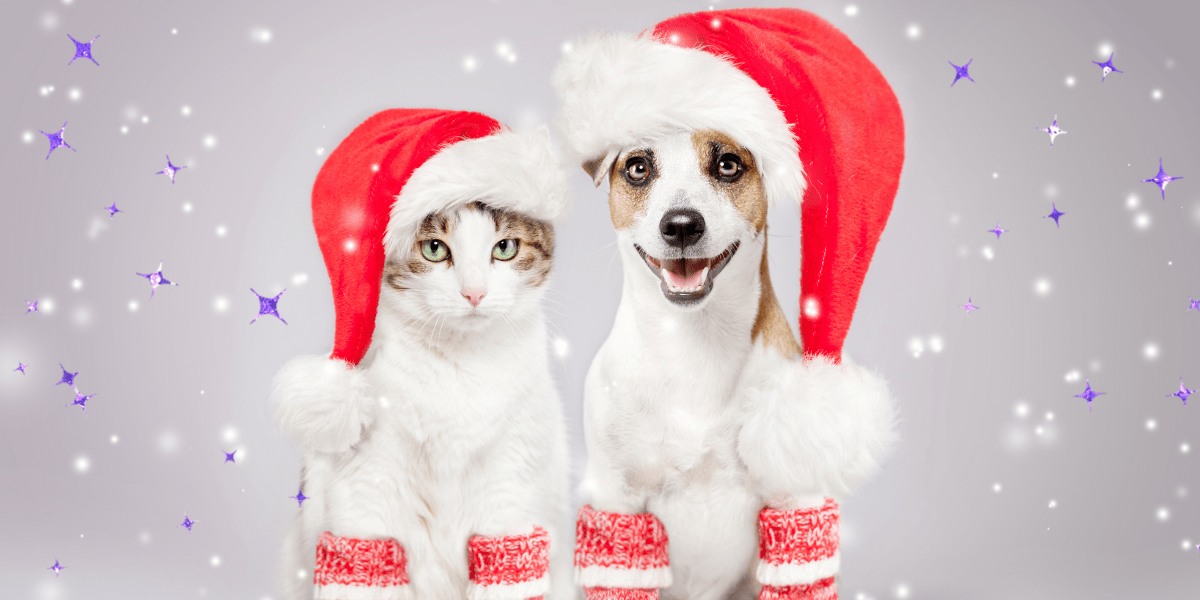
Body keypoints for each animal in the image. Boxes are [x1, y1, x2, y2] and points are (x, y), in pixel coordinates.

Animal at [274, 202, 571, 600]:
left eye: (505, 247)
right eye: (434, 249)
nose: (474, 293)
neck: (459, 370)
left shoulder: (508, 502)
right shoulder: (363, 502)